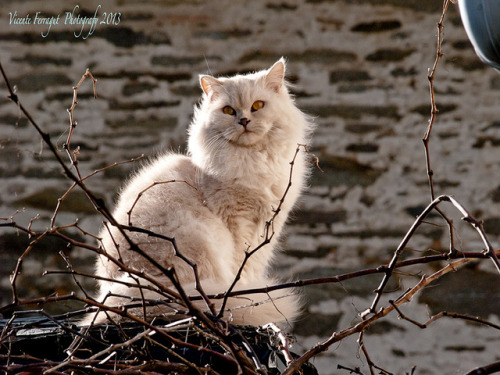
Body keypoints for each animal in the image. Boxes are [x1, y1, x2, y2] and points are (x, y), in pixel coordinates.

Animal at [86, 58, 312, 326]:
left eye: (257, 106)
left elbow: (254, 265)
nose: (244, 121)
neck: (252, 160)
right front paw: (248, 293)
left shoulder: (269, 225)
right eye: (229, 111)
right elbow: (242, 268)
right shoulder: (237, 222)